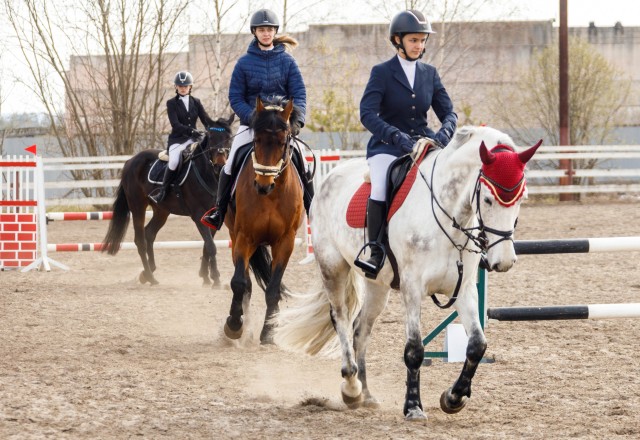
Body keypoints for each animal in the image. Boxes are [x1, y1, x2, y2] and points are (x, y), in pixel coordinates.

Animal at [102, 114, 235, 286]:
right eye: (211, 136)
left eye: (228, 137)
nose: (220, 163)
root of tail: (130, 161)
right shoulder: (198, 215)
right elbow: (211, 246)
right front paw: (216, 279)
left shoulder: (212, 215)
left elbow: (207, 245)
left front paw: (206, 276)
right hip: (138, 207)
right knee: (140, 240)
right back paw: (150, 276)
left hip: (161, 210)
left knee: (149, 233)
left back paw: (147, 273)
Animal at [222, 96, 304, 344]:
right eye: (256, 140)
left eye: (283, 142)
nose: (262, 185)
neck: (272, 196)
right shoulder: (244, 237)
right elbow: (239, 283)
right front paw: (234, 325)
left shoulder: (285, 242)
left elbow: (273, 288)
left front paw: (269, 332)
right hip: (235, 236)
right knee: (245, 283)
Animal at [276, 125, 540, 422]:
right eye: (487, 199)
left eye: (521, 198)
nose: (503, 262)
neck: (448, 218)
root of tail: (332, 175)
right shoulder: (412, 288)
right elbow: (415, 349)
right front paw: (413, 406)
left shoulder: (464, 290)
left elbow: (476, 345)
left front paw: (453, 398)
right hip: (332, 267)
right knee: (341, 319)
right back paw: (352, 388)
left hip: (377, 287)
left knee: (360, 330)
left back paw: (367, 395)